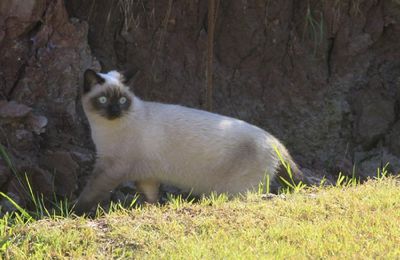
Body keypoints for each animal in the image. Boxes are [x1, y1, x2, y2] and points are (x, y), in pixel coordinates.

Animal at [75, 68, 304, 213]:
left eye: (122, 100)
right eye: (103, 100)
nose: (115, 111)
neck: (104, 129)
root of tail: (274, 140)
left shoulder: (110, 169)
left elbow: (88, 195)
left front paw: (73, 212)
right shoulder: (146, 176)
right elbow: (151, 198)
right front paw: (152, 209)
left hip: (238, 190)